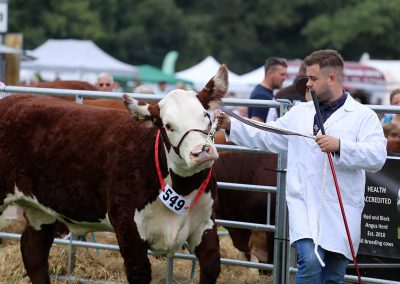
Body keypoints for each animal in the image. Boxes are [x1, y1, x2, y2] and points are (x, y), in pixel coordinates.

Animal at [0, 65, 230, 282]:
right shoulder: (129, 229)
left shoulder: (206, 225)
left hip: (40, 210)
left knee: (33, 250)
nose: (201, 151)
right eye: (168, 125)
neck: (182, 188)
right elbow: (139, 273)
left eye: (205, 115)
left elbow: (212, 265)